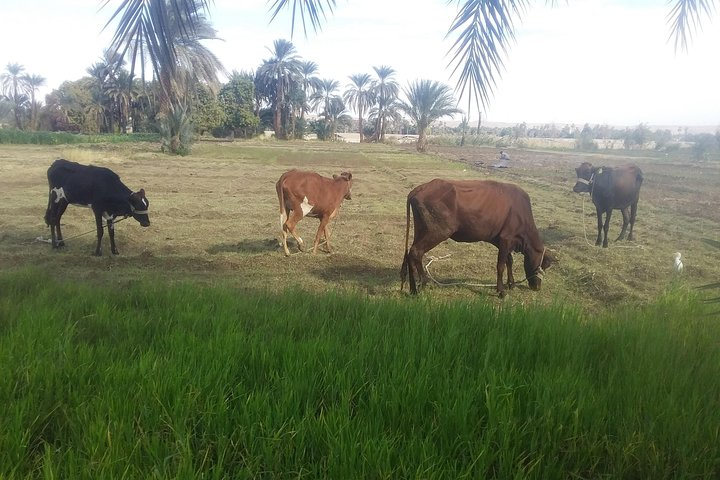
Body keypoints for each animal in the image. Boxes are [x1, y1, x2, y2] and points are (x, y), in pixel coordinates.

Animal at [400, 179, 552, 296]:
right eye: (545, 264)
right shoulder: (506, 239)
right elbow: (501, 265)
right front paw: (501, 291)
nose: (537, 287)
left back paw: (413, 289)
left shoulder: (502, 241)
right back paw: (423, 283)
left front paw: (511, 283)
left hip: (421, 230)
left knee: (410, 254)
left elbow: (509, 261)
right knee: (416, 252)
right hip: (437, 232)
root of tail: (419, 189)